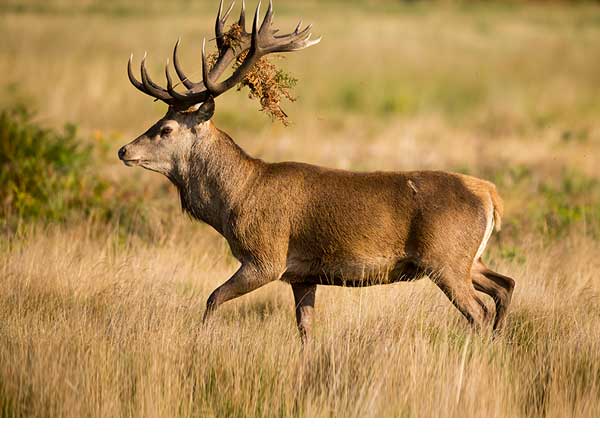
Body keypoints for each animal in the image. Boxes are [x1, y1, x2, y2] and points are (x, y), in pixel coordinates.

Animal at [118, 0, 516, 342]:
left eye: (166, 129)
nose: (124, 150)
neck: (235, 200)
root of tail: (489, 194)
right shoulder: (303, 275)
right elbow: (305, 330)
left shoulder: (266, 257)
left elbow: (212, 298)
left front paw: (201, 339)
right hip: (469, 259)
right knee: (505, 285)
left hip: (445, 259)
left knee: (478, 311)